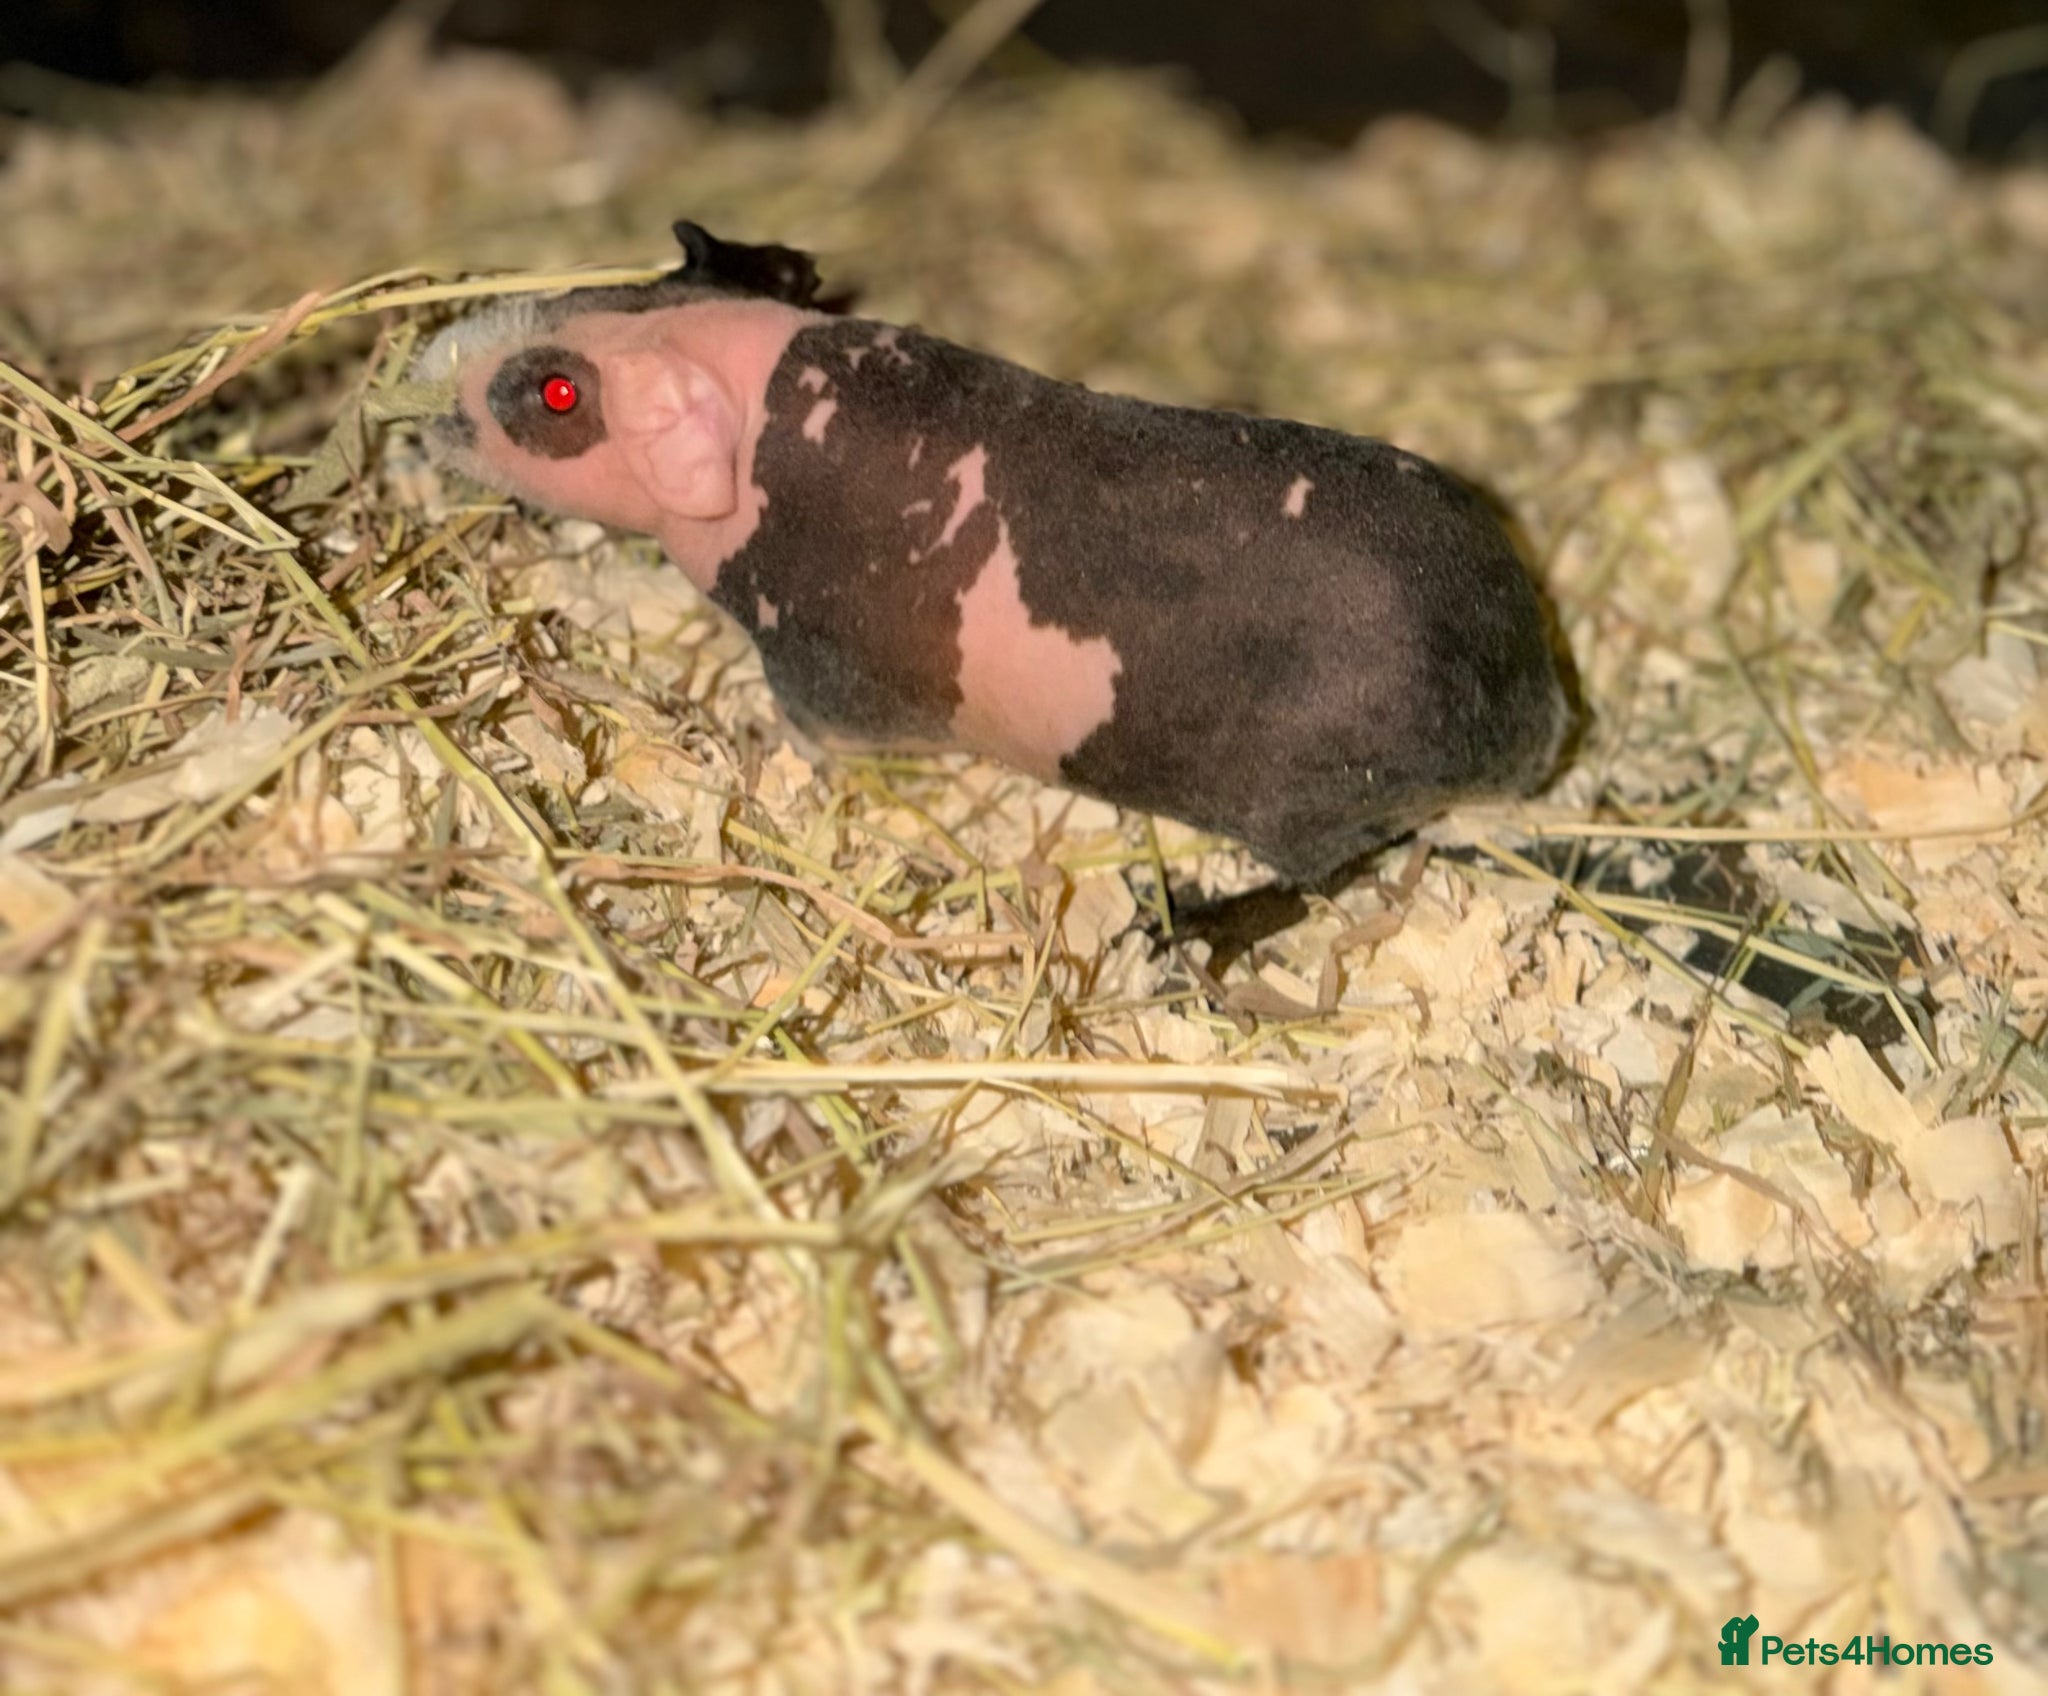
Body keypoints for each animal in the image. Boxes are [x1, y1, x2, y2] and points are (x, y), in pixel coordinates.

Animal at [412, 221, 1568, 892]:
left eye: (558, 393)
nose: (427, 381)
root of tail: (1531, 707)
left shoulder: (823, 675)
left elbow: (812, 733)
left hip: (1307, 806)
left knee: (1326, 877)